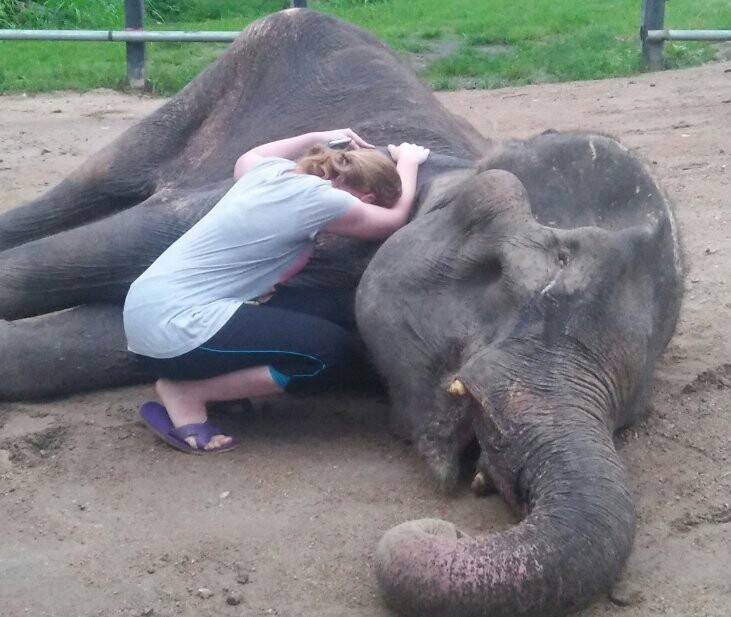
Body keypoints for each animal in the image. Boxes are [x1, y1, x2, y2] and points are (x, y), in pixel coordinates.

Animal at [0, 8, 682, 617]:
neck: (459, 175)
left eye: (633, 412)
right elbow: (100, 254)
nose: (437, 528)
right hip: (219, 78)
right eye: (523, 280)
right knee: (93, 188)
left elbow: (101, 337)